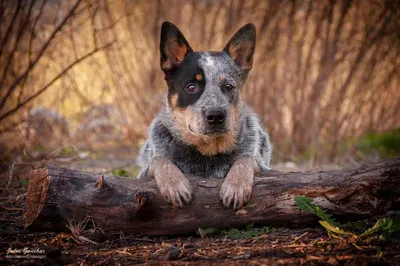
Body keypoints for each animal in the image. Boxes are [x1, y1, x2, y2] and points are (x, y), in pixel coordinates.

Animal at [138, 20, 272, 210]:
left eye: (229, 86)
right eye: (191, 87)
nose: (216, 115)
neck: (207, 153)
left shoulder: (262, 165)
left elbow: (246, 158)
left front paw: (236, 185)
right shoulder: (145, 170)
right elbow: (159, 160)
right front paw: (174, 184)